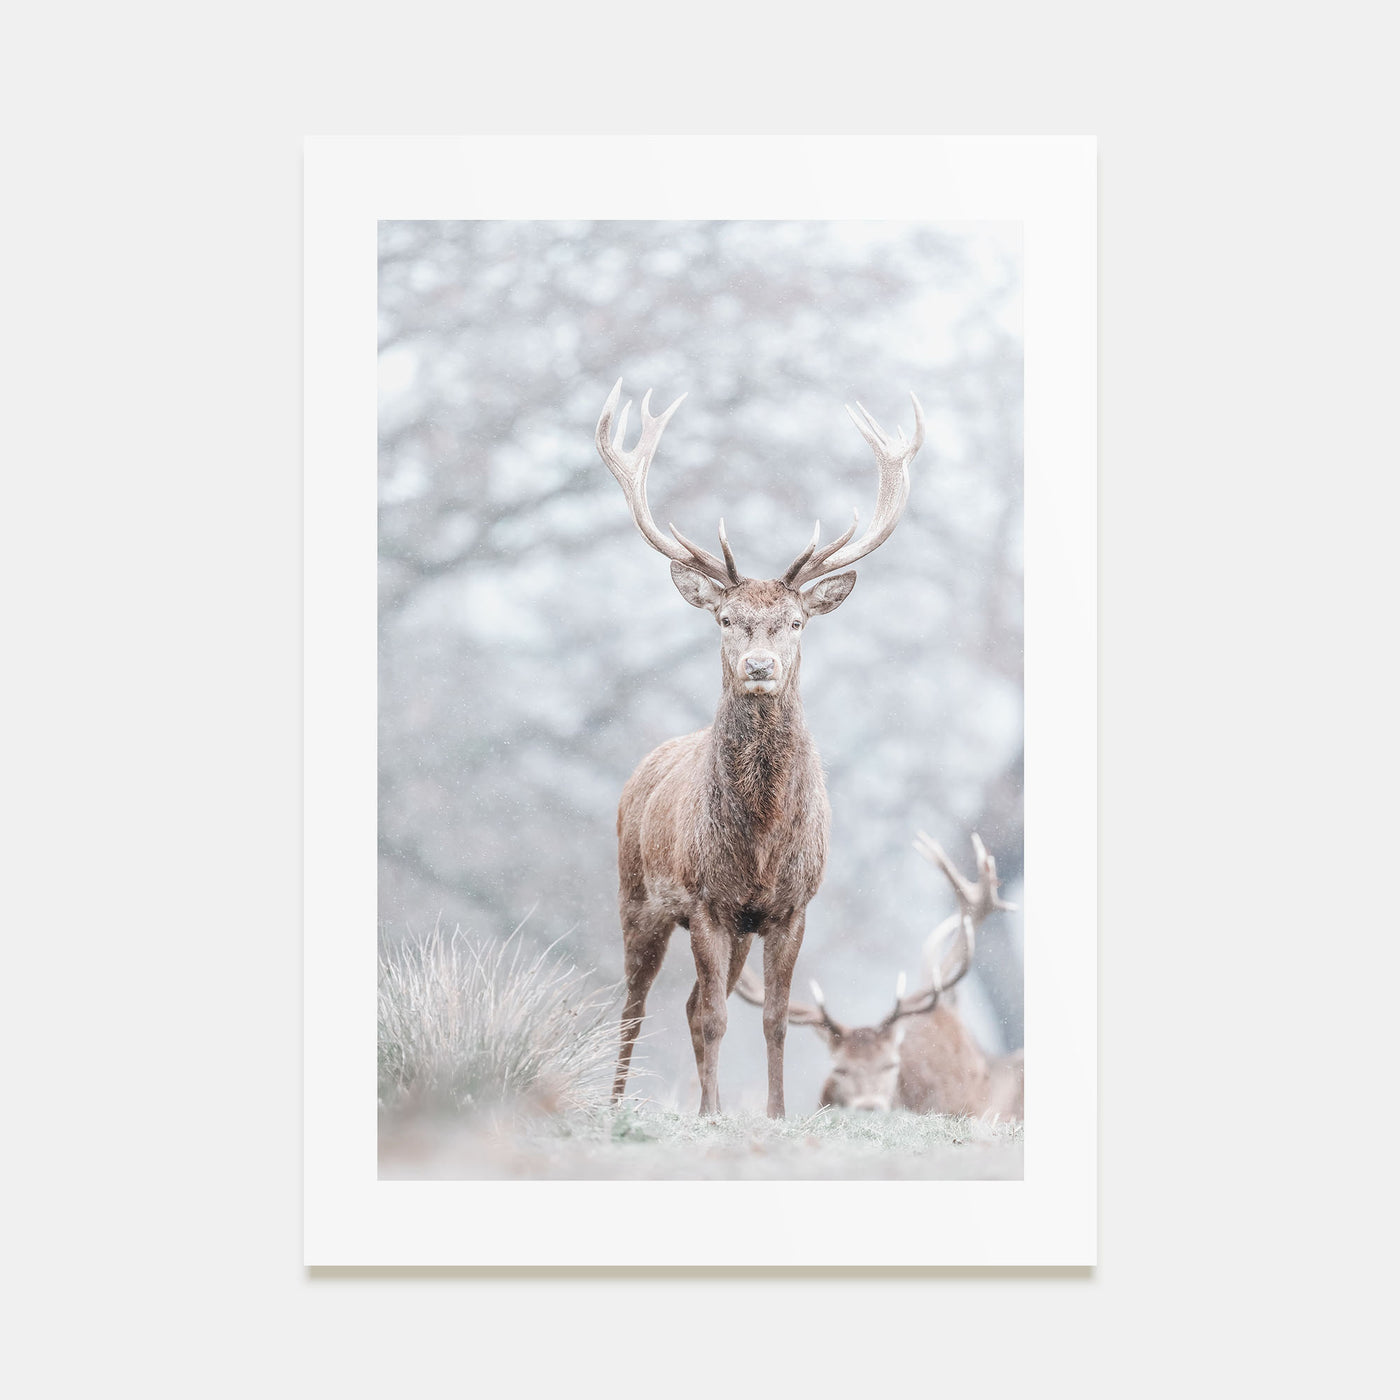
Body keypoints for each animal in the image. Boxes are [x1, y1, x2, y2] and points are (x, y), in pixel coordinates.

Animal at [597, 378, 925, 1117]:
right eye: (727, 618)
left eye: (795, 621)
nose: (758, 667)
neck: (761, 838)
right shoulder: (704, 901)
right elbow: (719, 1018)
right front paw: (715, 1116)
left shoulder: (789, 906)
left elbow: (773, 1019)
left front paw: (773, 1113)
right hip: (637, 895)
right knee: (638, 1005)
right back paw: (619, 1102)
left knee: (691, 1003)